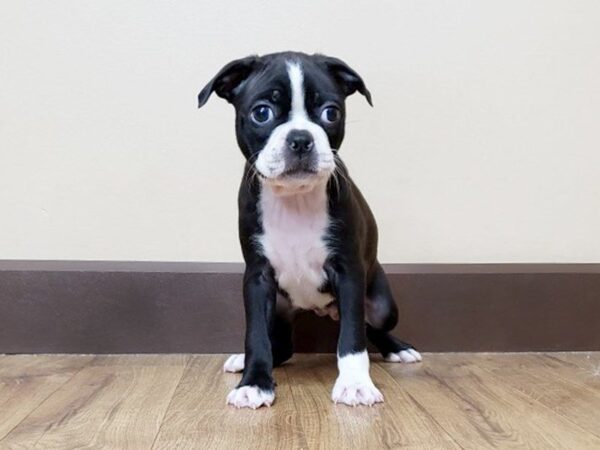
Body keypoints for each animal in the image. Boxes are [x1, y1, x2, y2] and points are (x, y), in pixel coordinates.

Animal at [198, 51, 422, 410]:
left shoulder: (348, 272)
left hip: (384, 306)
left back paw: (398, 349)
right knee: (280, 346)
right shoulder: (257, 278)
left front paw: (355, 383)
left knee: (372, 325)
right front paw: (254, 383)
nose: (301, 138)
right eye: (262, 113)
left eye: (331, 113)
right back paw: (244, 362)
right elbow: (256, 337)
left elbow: (353, 338)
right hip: (279, 307)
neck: (295, 199)